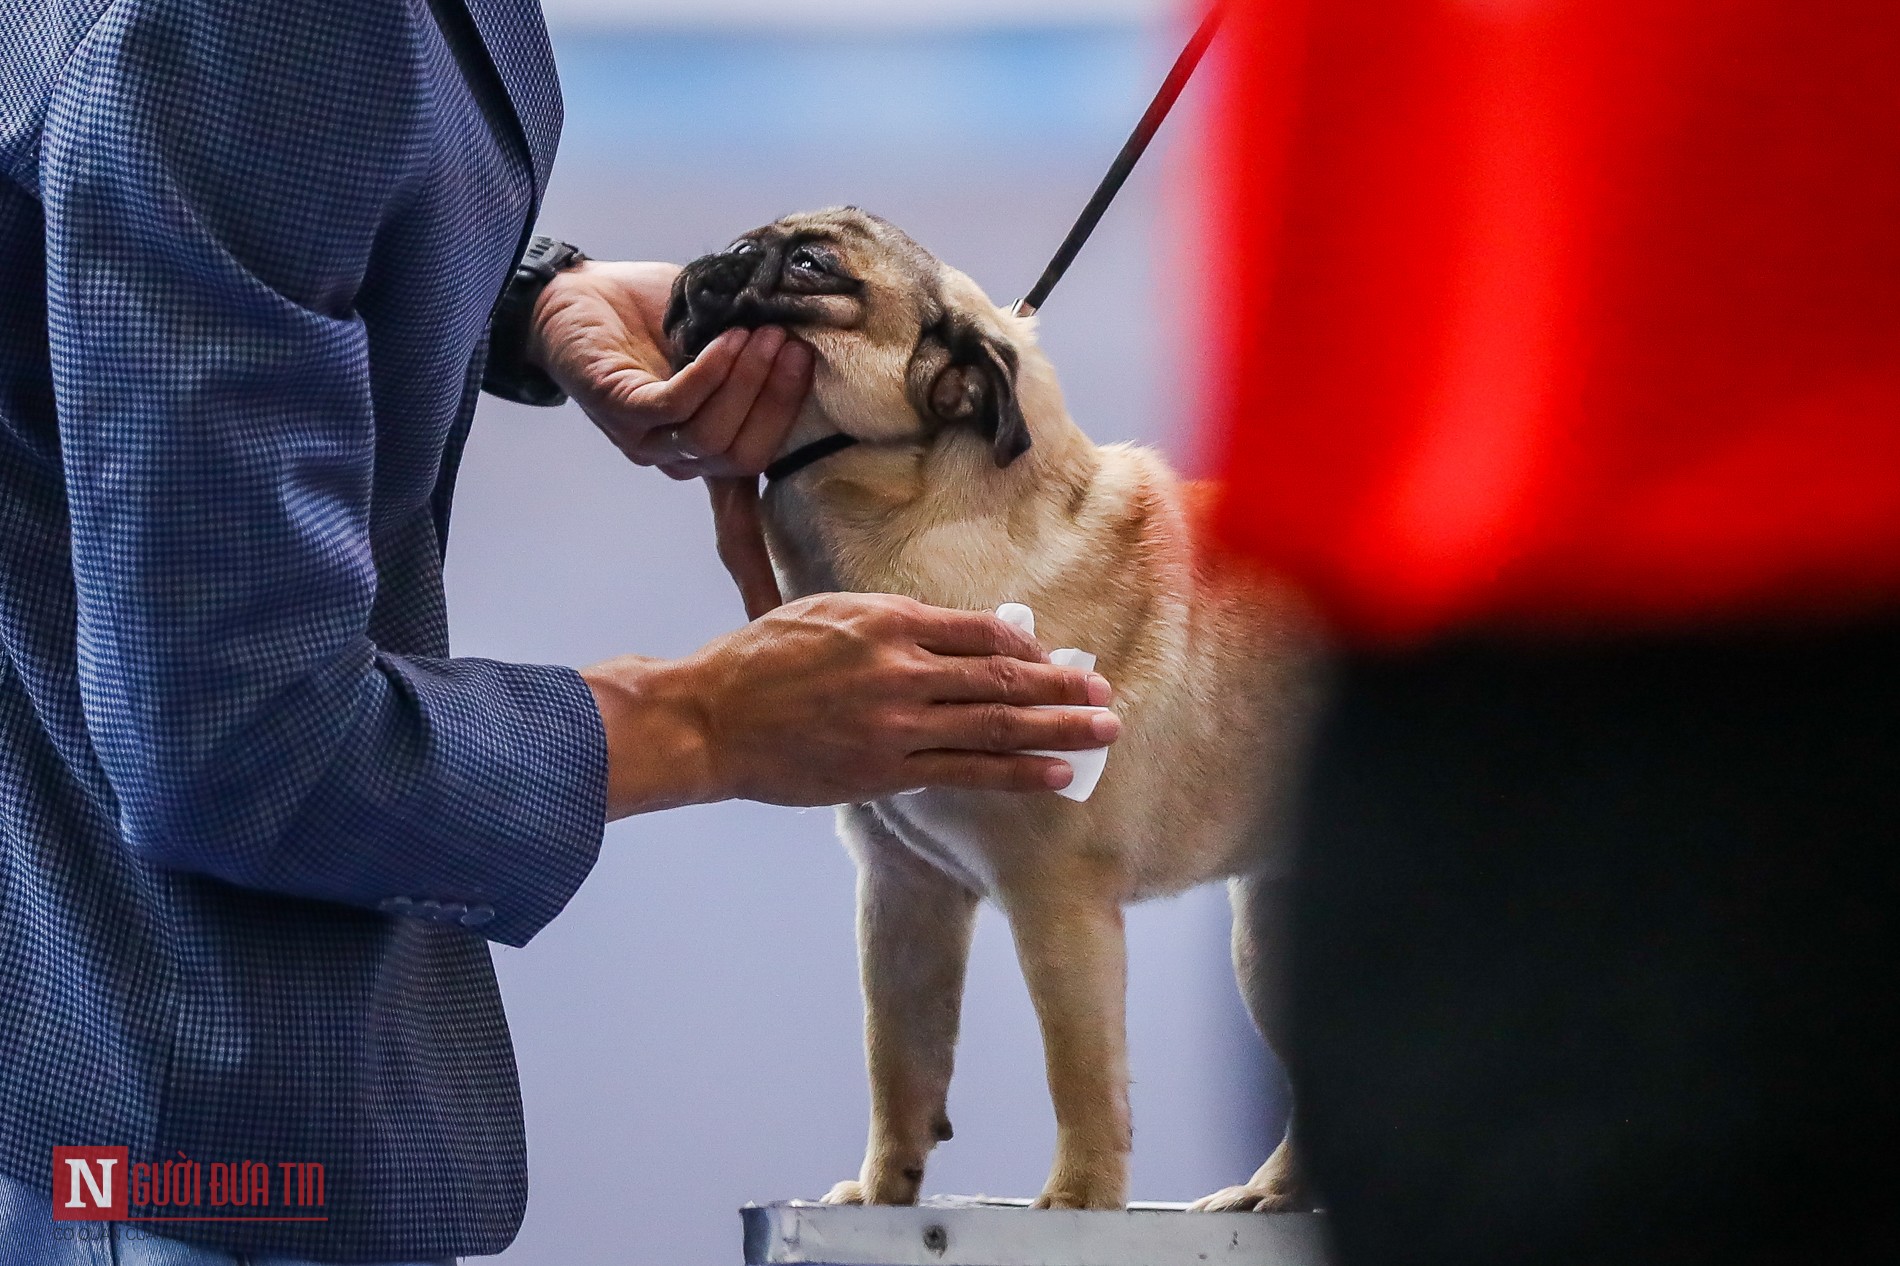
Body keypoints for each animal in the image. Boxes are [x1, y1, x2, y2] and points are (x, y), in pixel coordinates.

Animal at [668, 207, 1322, 1216]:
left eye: (812, 266)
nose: (719, 260)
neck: (916, 515)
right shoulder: (906, 892)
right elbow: (899, 1064)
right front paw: (884, 1192)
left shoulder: (1058, 898)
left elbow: (1082, 1075)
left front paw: (1081, 1201)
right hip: (1272, 937)